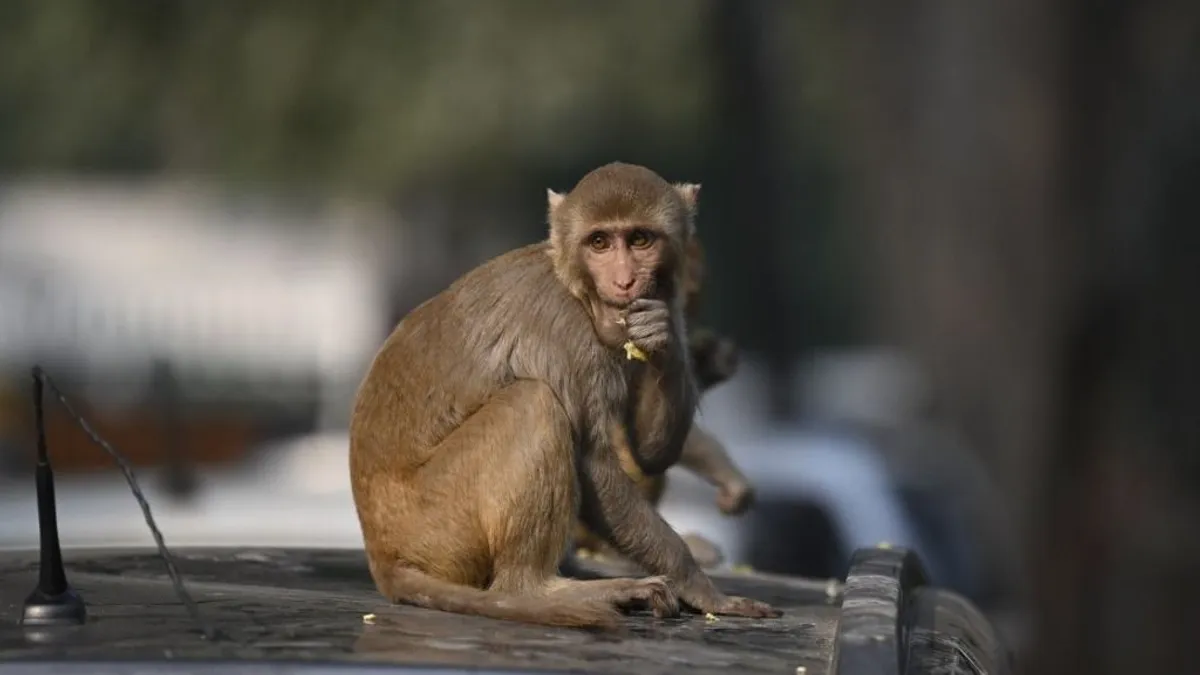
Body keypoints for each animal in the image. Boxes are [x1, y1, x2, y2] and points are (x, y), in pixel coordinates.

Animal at [350, 159, 777, 629]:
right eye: (599, 242)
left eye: (640, 239)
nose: (625, 282)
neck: (578, 290)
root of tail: (384, 558)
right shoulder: (565, 332)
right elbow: (594, 464)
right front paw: (703, 589)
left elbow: (649, 454)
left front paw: (661, 334)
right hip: (439, 524)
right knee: (532, 403)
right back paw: (538, 588)